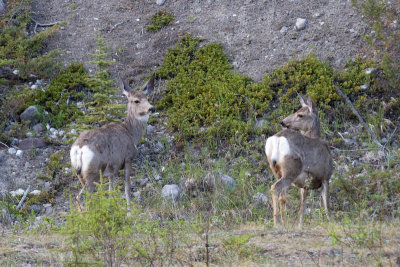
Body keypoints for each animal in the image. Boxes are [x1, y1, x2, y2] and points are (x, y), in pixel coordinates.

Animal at [70, 74, 155, 210]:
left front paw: (112, 206)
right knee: (83, 197)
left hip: (79, 173)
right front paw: (129, 209)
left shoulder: (112, 169)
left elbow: (110, 190)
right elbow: (127, 187)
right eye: (136, 100)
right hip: (93, 172)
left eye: (147, 98)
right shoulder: (128, 158)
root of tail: (80, 148)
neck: (131, 133)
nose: (151, 108)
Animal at [266, 95, 332, 227]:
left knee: (282, 195)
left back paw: (284, 222)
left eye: (300, 114)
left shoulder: (304, 185)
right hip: (291, 170)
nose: (283, 122)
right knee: (275, 188)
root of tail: (277, 139)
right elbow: (325, 203)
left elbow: (302, 206)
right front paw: (330, 221)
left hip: (278, 171)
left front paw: (299, 225)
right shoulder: (325, 177)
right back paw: (277, 223)